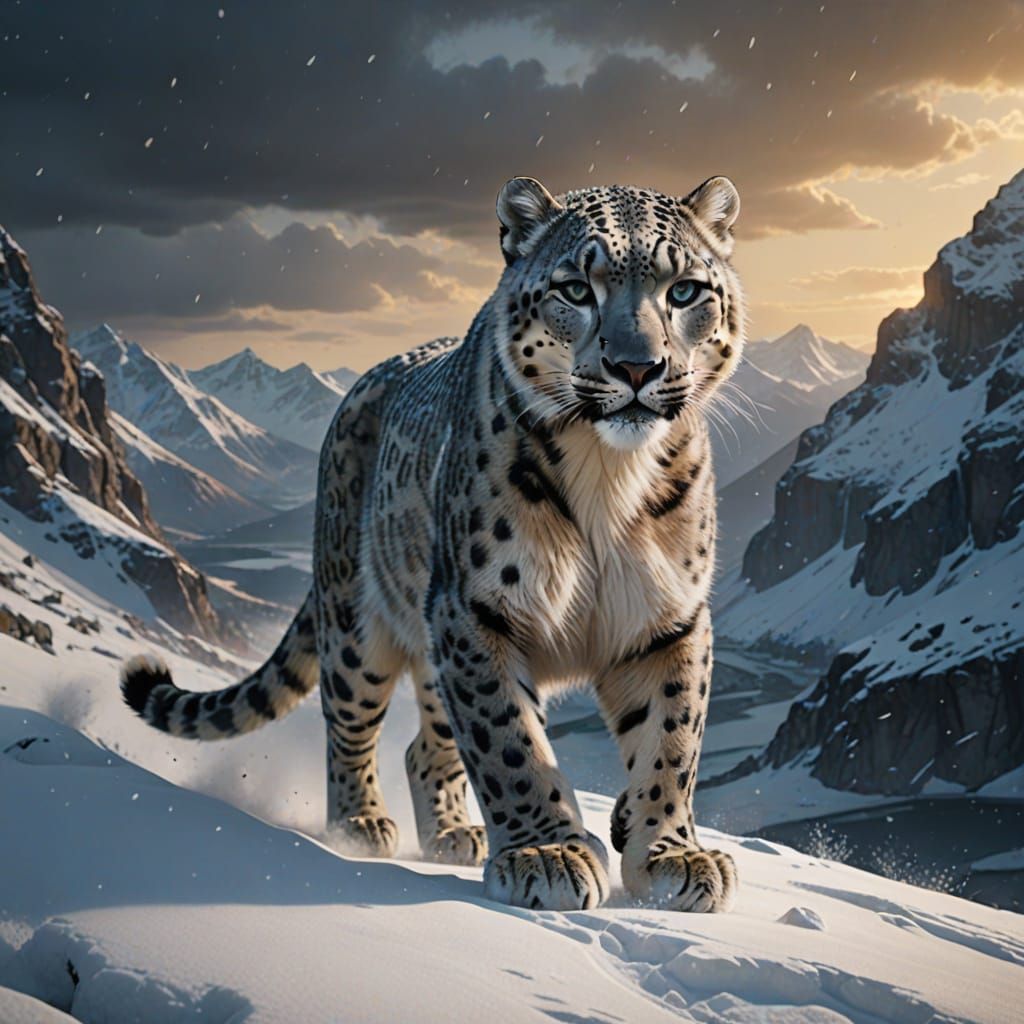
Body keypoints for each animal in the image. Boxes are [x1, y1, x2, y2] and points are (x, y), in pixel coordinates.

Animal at [121, 173, 746, 913]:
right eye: (575, 288)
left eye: (685, 291)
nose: (637, 367)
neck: (610, 474)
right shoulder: (477, 610)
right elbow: (510, 742)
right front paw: (548, 852)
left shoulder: (668, 617)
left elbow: (671, 739)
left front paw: (670, 854)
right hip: (358, 626)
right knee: (350, 723)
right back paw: (361, 825)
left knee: (427, 746)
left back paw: (456, 833)